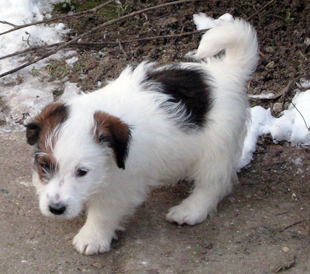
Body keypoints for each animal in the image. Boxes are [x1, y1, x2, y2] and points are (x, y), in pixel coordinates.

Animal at [26, 14, 260, 255]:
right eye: (44, 166)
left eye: (82, 172)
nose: (56, 208)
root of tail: (228, 71)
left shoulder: (120, 186)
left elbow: (103, 211)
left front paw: (92, 236)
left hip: (217, 149)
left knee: (213, 184)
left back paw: (190, 210)